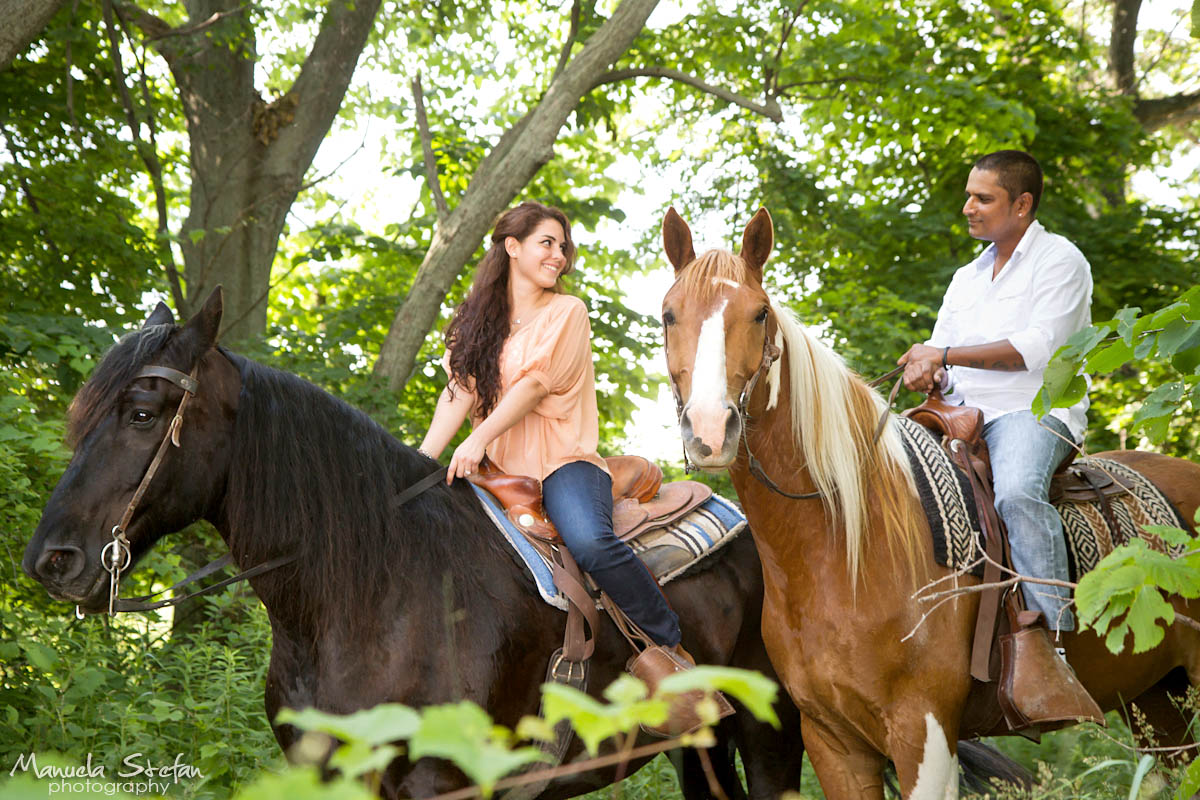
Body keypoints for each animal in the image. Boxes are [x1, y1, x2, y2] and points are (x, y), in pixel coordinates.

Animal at [21, 289, 806, 800]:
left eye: (142, 413)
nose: (51, 560)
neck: (371, 595)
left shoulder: (438, 780)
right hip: (700, 753)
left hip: (773, 733)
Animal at [662, 208, 1200, 800]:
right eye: (668, 315)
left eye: (759, 314)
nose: (710, 430)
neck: (842, 549)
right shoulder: (832, 741)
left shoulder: (925, 731)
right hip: (1160, 702)